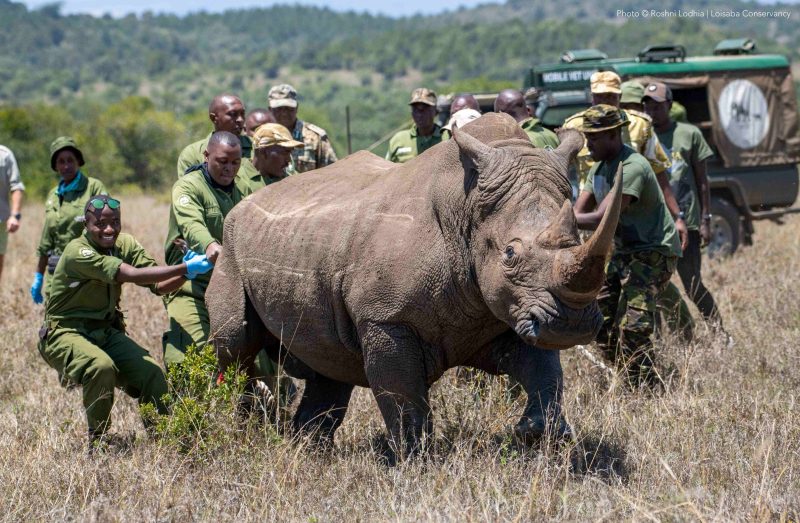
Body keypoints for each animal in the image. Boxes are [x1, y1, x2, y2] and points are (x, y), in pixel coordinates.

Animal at [207, 113, 621, 454]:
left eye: (578, 240)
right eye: (509, 253)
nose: (572, 324)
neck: (466, 210)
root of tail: (245, 202)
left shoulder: (513, 309)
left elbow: (545, 372)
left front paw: (536, 432)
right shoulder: (385, 318)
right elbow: (403, 398)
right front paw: (412, 459)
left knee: (328, 368)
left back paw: (307, 451)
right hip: (231, 246)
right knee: (236, 346)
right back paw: (234, 427)